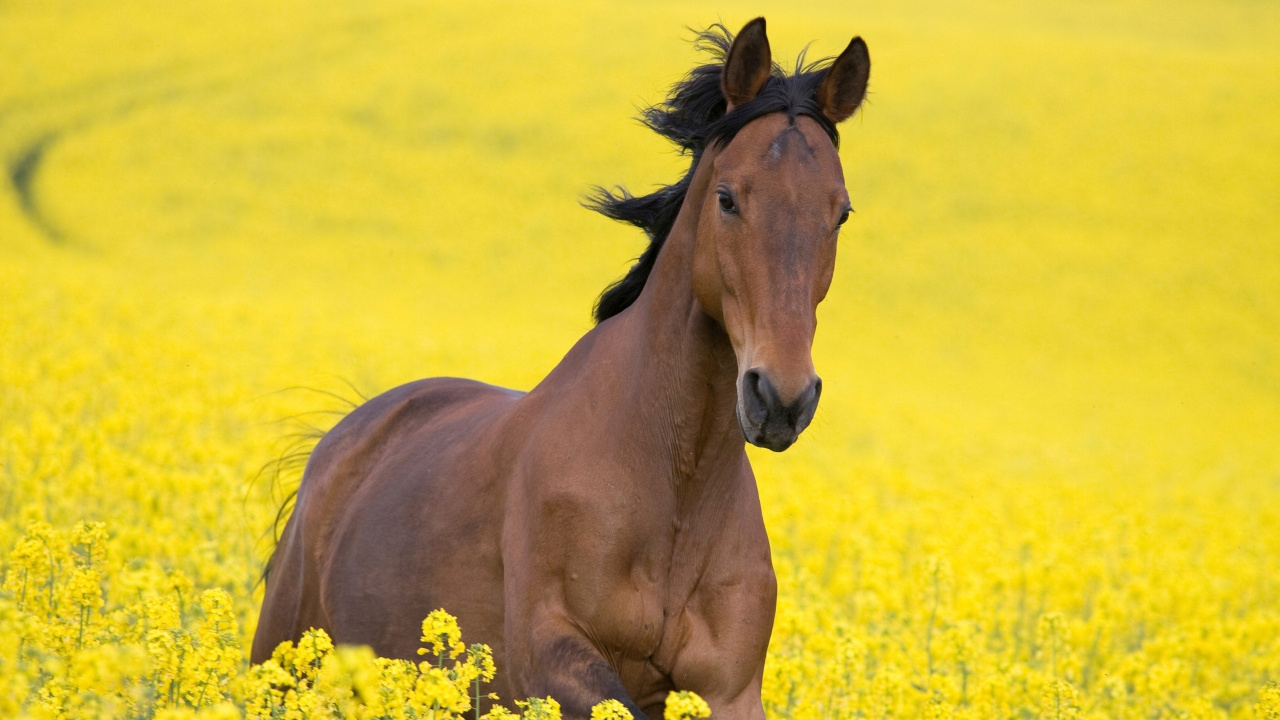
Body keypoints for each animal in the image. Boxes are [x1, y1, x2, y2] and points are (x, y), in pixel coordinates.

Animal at [252, 18, 870, 720]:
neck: (671, 483)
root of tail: (341, 439)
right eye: (727, 198)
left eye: (840, 212)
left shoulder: (730, 688)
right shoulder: (548, 657)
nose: (781, 399)